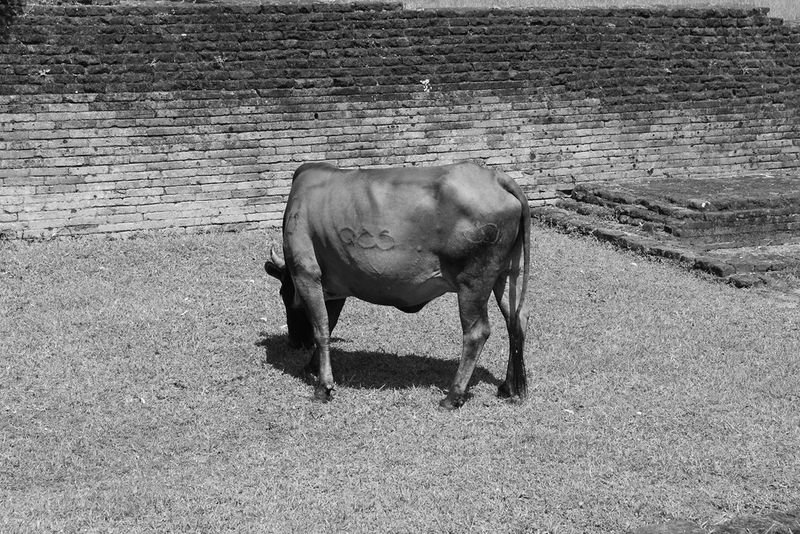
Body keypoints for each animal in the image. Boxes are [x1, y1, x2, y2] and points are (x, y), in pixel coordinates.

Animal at [265, 161, 531, 409]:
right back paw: (510, 388)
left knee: (477, 332)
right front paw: (312, 367)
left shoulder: (306, 273)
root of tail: (497, 178)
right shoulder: (335, 286)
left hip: (473, 281)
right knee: (517, 319)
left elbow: (320, 330)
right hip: (507, 273)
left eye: (283, 293)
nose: (295, 342)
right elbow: (328, 325)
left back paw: (453, 396)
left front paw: (323, 387)